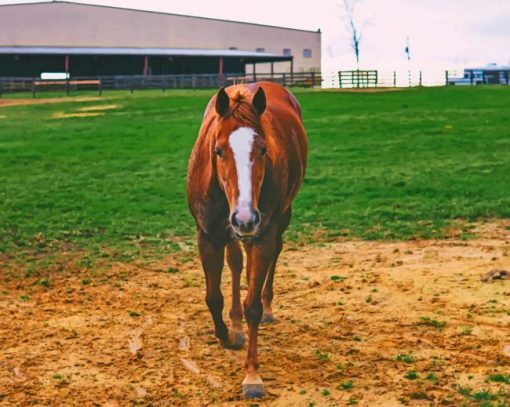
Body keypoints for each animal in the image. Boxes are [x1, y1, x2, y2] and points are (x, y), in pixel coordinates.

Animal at [187, 80, 306, 398]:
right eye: (218, 150)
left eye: (263, 149)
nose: (245, 217)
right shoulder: (207, 236)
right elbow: (213, 297)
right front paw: (228, 336)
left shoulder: (262, 234)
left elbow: (252, 306)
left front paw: (252, 375)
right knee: (237, 263)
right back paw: (235, 322)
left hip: (280, 217)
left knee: (273, 254)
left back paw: (267, 308)